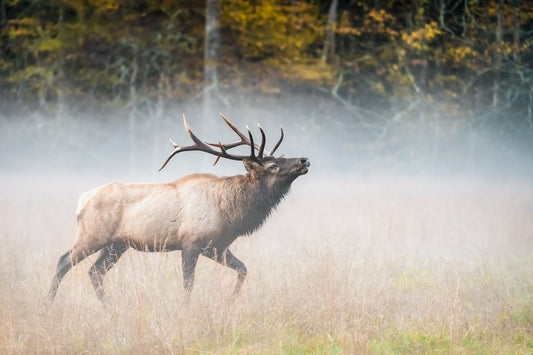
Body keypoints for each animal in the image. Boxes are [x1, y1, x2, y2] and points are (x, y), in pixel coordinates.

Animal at [47, 114, 310, 306]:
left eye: (282, 157)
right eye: (273, 165)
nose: (304, 160)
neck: (232, 213)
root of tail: (82, 200)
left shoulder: (216, 246)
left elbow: (243, 269)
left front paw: (230, 301)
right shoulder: (191, 242)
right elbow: (188, 283)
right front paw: (186, 309)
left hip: (117, 244)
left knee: (95, 272)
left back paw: (108, 307)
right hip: (92, 235)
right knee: (63, 261)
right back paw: (48, 305)